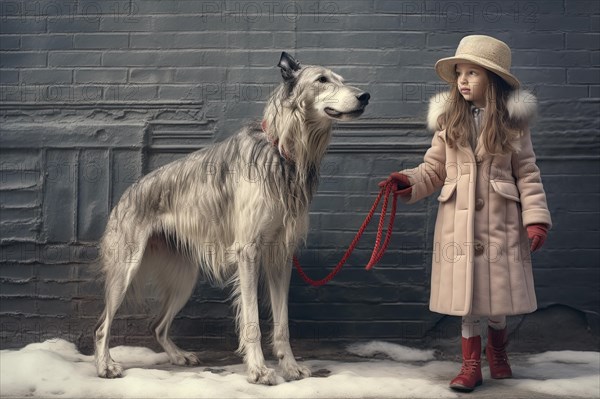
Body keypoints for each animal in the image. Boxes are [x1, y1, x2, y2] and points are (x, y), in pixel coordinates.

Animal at [92, 51, 370, 386]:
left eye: (341, 79)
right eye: (322, 80)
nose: (365, 96)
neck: (281, 151)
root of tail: (125, 195)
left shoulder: (280, 256)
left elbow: (282, 324)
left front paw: (290, 367)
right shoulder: (248, 252)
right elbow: (252, 321)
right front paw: (258, 370)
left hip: (185, 278)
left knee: (157, 326)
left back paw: (178, 355)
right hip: (126, 269)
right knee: (102, 327)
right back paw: (105, 366)